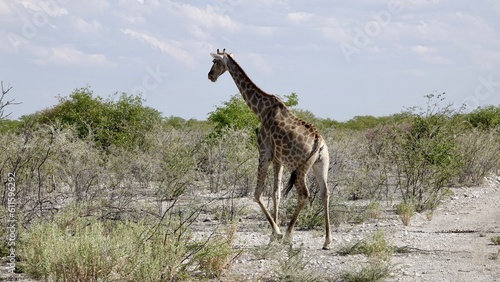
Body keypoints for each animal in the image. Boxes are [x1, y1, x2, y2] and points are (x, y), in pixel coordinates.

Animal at [207, 48, 332, 249]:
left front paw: (277, 232)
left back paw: (288, 235)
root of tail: (318, 141)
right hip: (320, 164)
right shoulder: (278, 160)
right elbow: (276, 194)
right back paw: (327, 240)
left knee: (304, 194)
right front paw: (273, 235)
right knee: (324, 193)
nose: (210, 76)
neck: (261, 110)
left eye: (215, 61)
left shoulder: (264, 153)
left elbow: (257, 194)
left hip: (300, 167)